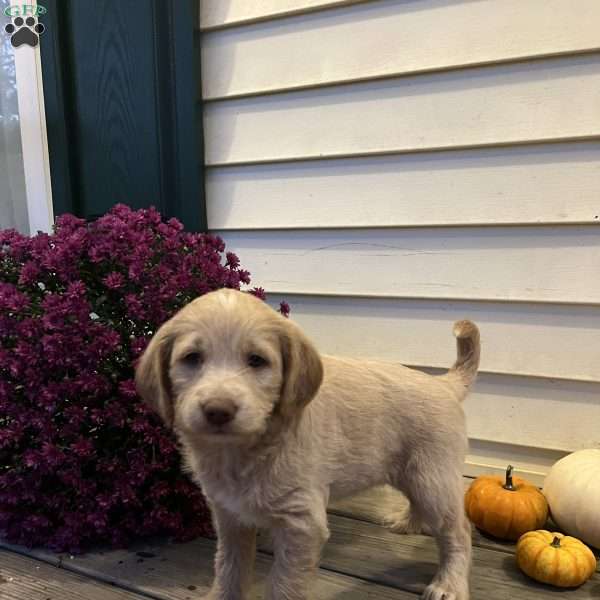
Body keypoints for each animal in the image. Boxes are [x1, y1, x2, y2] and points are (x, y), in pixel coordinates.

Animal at [135, 288, 478, 596]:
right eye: (192, 358)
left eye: (256, 361)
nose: (218, 410)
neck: (243, 452)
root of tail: (443, 383)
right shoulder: (230, 516)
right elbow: (229, 569)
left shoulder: (301, 524)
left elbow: (285, 586)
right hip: (414, 475)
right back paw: (409, 522)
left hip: (433, 479)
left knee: (459, 533)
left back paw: (448, 585)